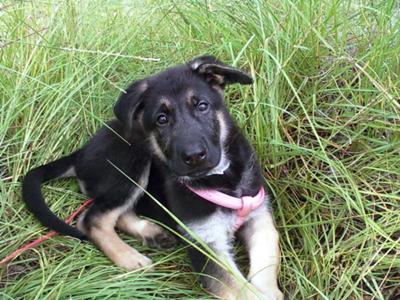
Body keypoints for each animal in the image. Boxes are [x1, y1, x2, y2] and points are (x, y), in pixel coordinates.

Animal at [22, 56, 284, 300]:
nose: (194, 156)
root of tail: (81, 152)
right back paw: (130, 258)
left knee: (117, 212)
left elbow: (269, 252)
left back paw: (151, 233)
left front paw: (270, 291)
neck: (222, 179)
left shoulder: (259, 216)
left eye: (202, 106)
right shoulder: (205, 243)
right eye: (161, 119)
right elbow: (241, 290)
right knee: (92, 218)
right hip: (133, 161)